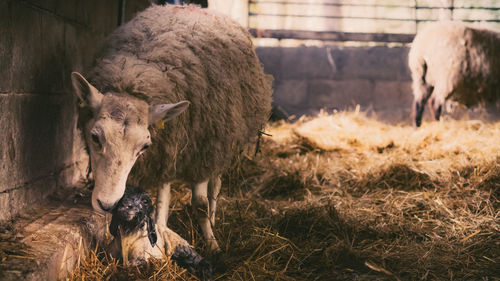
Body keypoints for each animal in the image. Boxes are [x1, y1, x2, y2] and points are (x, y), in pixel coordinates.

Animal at [70, 3, 272, 250]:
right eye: (95, 137)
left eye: (143, 147)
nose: (107, 204)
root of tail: (191, 6)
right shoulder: (166, 149)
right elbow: (160, 195)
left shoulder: (202, 147)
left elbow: (200, 203)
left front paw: (212, 244)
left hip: (221, 140)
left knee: (215, 185)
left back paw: (213, 219)